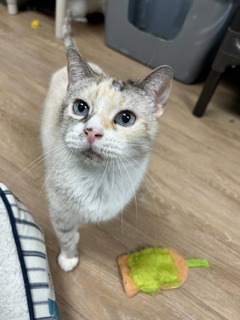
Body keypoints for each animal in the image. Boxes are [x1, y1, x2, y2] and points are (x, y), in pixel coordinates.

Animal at [41, 21, 172, 272]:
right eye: (81, 107)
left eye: (125, 119)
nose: (92, 132)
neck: (98, 179)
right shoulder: (60, 212)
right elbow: (66, 237)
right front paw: (69, 258)